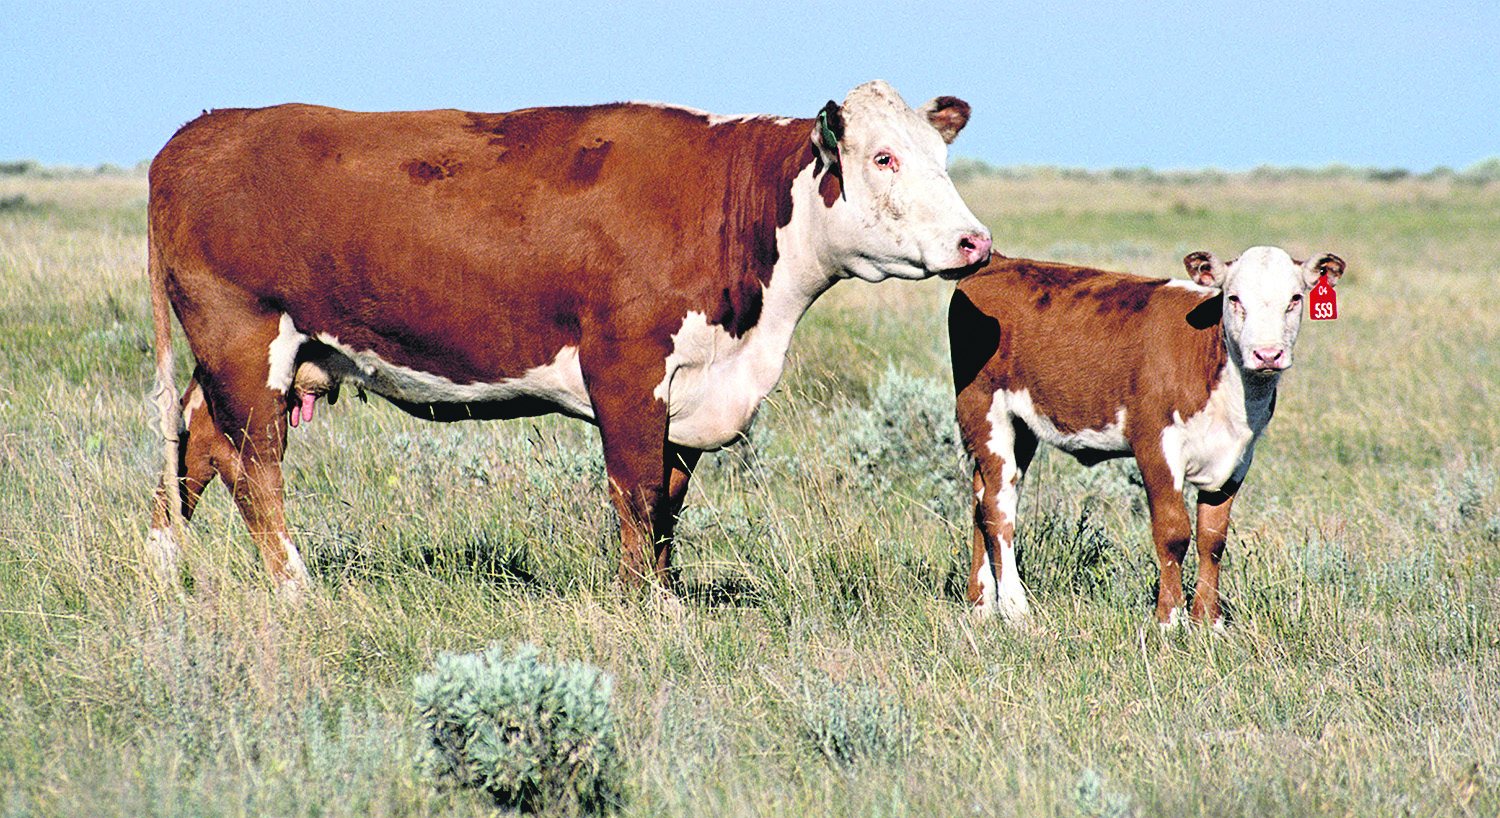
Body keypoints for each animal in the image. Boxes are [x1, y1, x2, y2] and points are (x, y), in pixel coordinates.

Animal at [146, 80, 993, 597]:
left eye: (941, 158)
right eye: (883, 156)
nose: (974, 241)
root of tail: (200, 131)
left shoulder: (690, 388)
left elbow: (669, 501)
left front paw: (660, 593)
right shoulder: (626, 366)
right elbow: (637, 491)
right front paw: (649, 606)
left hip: (245, 354)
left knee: (193, 444)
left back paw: (163, 565)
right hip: (243, 336)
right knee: (253, 467)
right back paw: (298, 589)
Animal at [949, 247, 1344, 627]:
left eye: (1295, 298)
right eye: (1233, 297)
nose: (1267, 354)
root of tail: (999, 261)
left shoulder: (1237, 458)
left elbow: (1212, 538)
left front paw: (1209, 620)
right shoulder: (1156, 444)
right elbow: (1173, 534)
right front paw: (1169, 618)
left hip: (1022, 426)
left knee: (982, 498)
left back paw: (982, 602)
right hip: (984, 409)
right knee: (998, 506)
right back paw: (1014, 606)